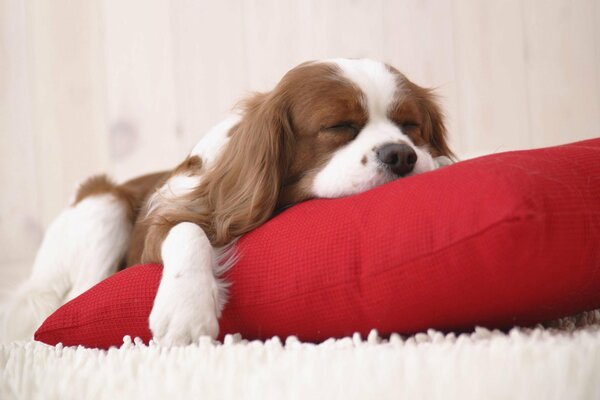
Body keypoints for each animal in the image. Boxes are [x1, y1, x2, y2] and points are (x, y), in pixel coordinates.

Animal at [0, 57, 450, 346]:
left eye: (410, 126)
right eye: (339, 126)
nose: (401, 155)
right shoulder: (161, 225)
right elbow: (187, 231)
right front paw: (185, 310)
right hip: (102, 204)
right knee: (76, 295)